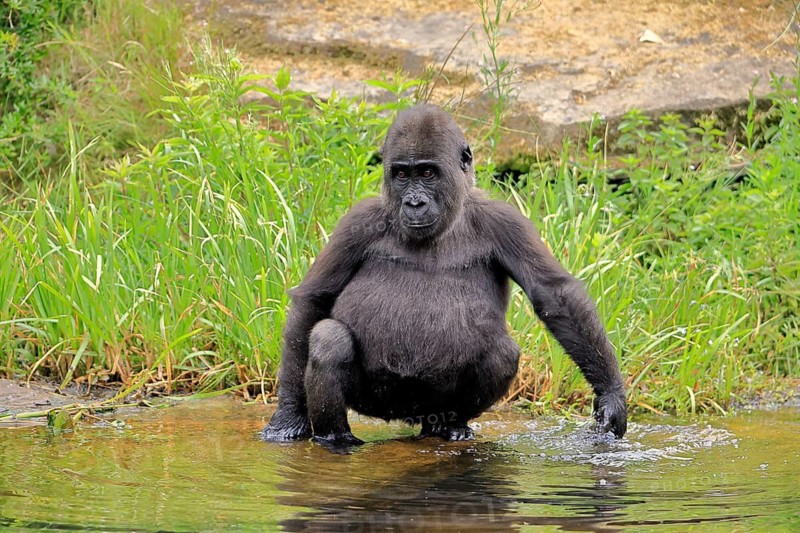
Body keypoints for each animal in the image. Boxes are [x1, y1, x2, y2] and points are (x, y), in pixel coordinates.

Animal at [262, 104, 626, 447]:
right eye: (401, 175)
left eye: (427, 172)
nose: (414, 203)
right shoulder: (357, 222)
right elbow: (315, 299)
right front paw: (290, 413)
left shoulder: (507, 221)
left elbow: (553, 294)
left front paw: (610, 396)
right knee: (329, 339)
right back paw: (335, 438)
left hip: (431, 407)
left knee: (501, 353)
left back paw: (451, 425)